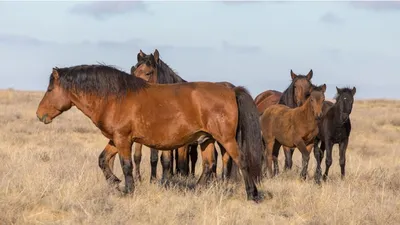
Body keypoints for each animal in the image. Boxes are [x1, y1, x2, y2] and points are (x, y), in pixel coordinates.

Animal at [36, 64, 264, 201]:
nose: (39, 115)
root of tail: (230, 89)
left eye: (49, 89)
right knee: (209, 165)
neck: (115, 98)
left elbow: (126, 165)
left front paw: (128, 189)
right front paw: (115, 183)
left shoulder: (123, 140)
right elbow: (103, 160)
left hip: (226, 139)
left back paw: (252, 194)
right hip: (205, 139)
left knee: (241, 161)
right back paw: (195, 191)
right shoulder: (116, 139)